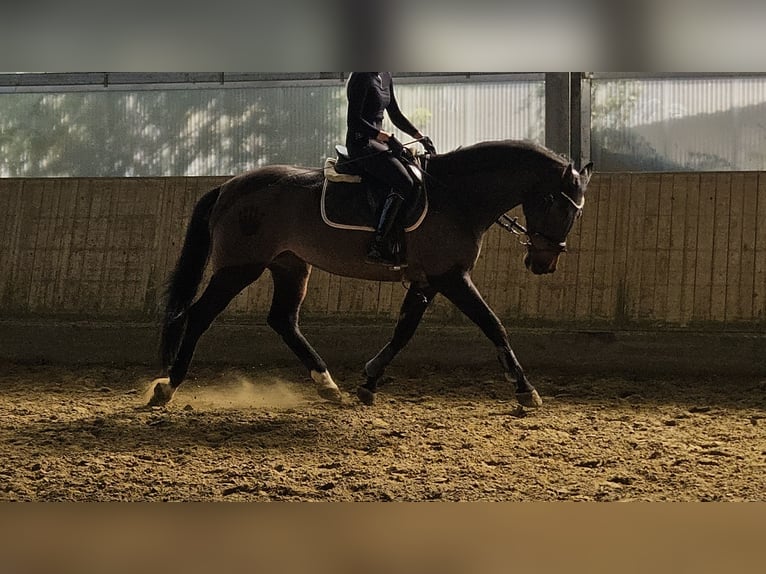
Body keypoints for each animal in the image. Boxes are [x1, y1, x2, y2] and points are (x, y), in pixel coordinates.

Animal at [149, 140, 593, 409]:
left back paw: (328, 385)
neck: (457, 197)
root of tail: (228, 187)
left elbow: (404, 331)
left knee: (283, 320)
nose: (543, 264)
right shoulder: (451, 277)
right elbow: (493, 325)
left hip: (290, 265)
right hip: (239, 268)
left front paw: (367, 383)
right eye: (562, 206)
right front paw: (525, 390)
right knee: (199, 315)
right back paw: (166, 387)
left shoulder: (427, 280)